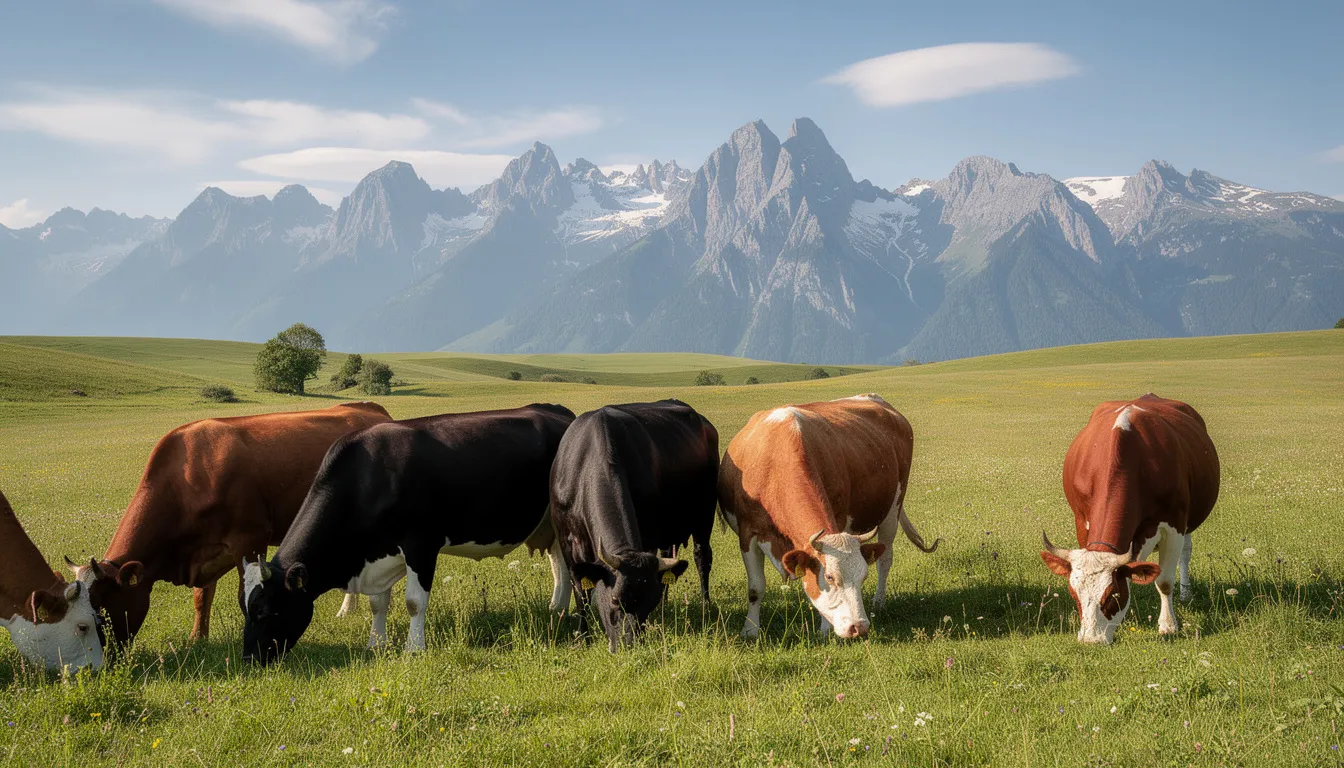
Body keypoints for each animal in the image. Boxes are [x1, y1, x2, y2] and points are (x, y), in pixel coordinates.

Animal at [73, 402, 392, 647]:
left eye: (99, 609)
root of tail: (370, 408)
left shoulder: (250, 539)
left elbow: (245, 596)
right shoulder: (205, 552)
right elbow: (202, 598)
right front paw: (197, 639)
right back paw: (347, 610)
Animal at [241, 403, 576, 664]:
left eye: (265, 610)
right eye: (245, 609)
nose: (248, 659)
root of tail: (557, 411)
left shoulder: (421, 544)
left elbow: (414, 602)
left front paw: (414, 648)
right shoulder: (376, 552)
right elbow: (378, 603)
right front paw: (375, 643)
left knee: (565, 563)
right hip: (548, 523)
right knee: (558, 562)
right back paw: (556, 610)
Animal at [549, 400, 719, 652]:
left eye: (648, 605)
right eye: (614, 600)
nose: (627, 644)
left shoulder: (647, 534)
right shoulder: (566, 540)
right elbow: (581, 591)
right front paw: (583, 636)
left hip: (705, 513)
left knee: (702, 557)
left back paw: (705, 604)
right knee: (668, 555)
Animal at [718, 394, 940, 640]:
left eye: (863, 576)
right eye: (830, 577)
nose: (859, 627)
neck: (775, 463)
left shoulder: (839, 519)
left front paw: (824, 629)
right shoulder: (748, 533)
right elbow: (756, 587)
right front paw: (750, 630)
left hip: (893, 509)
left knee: (885, 560)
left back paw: (879, 602)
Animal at [1040, 394, 1220, 645]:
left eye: (1113, 595)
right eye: (1073, 593)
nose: (1091, 640)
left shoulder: (1174, 524)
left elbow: (1164, 581)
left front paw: (1168, 626)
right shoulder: (1082, 520)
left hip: (1189, 521)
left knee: (1186, 551)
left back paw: (1185, 593)